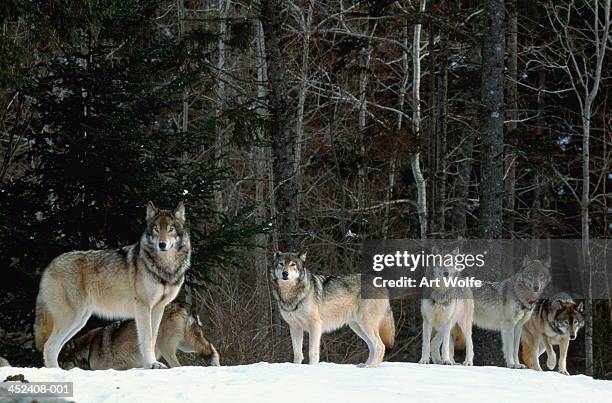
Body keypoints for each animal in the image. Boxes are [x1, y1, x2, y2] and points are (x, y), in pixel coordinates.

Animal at [33, 202, 190, 370]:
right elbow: (147, 339)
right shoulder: (143, 307)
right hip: (71, 318)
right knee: (49, 347)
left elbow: (152, 339)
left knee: (55, 347)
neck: (164, 268)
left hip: (79, 321)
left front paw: (151, 364)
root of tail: (49, 266)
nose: (162, 244)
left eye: (171, 229)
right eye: (156, 229)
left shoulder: (157, 308)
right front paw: (150, 364)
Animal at [58, 302, 220, 370]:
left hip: (166, 348)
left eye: (61, 363)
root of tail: (185, 306)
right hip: (187, 345)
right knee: (212, 349)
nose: (58, 369)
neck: (88, 349)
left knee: (177, 365)